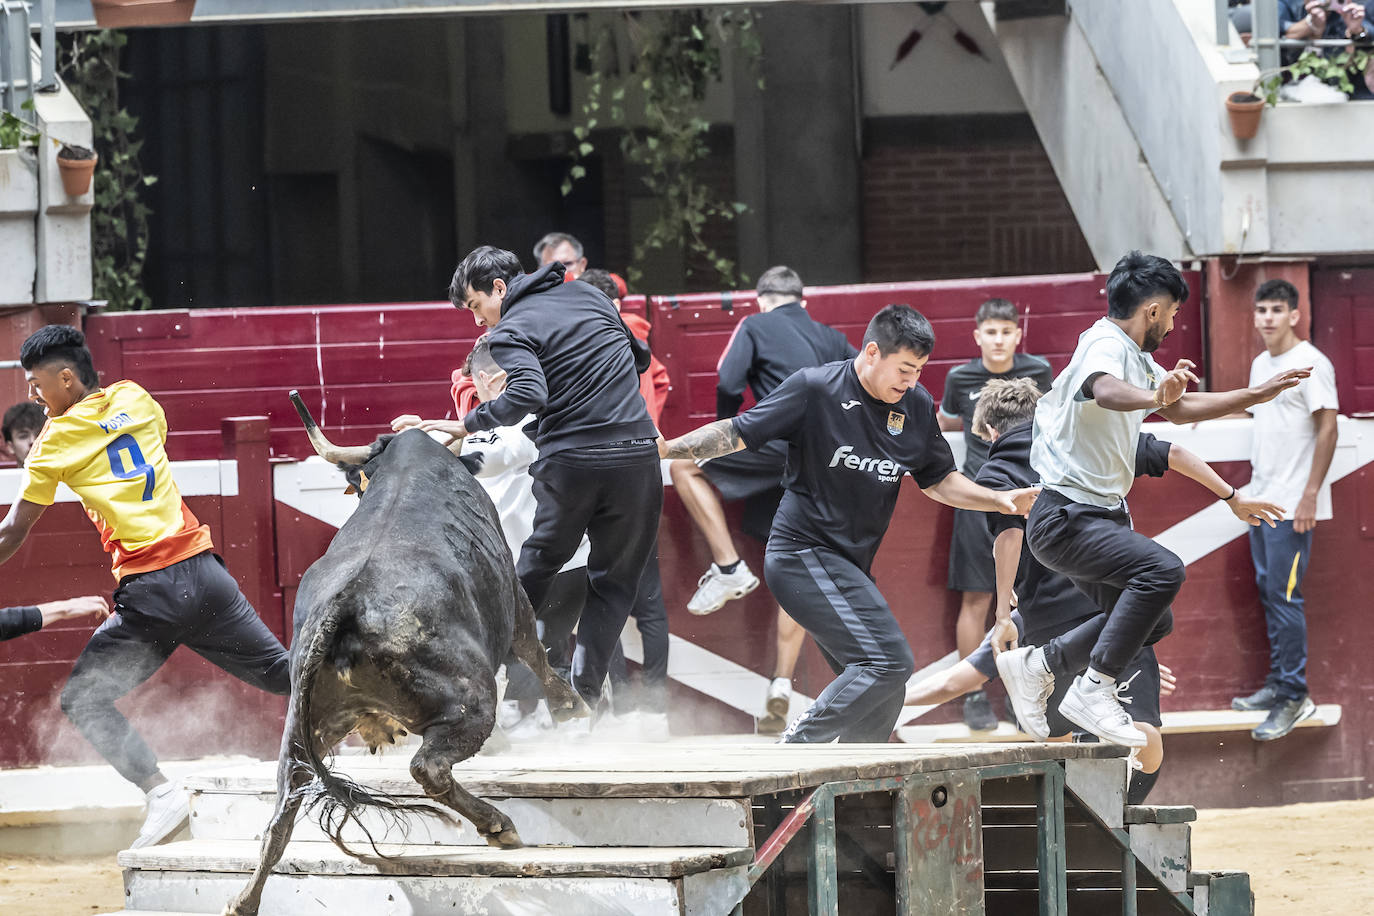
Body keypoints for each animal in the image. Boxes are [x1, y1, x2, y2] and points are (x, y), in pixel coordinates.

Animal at [223, 403, 585, 911]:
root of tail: (346, 604)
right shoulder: (515, 596)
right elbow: (532, 647)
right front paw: (570, 706)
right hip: (472, 702)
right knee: (429, 767)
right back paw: (498, 824)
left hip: (304, 727)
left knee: (284, 805)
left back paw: (245, 900)